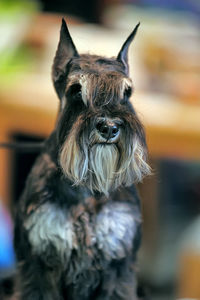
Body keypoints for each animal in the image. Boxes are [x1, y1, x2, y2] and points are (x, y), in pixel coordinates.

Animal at [12, 19, 151, 300]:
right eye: (76, 90)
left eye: (127, 92)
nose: (109, 127)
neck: (88, 188)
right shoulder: (38, 264)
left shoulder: (118, 265)